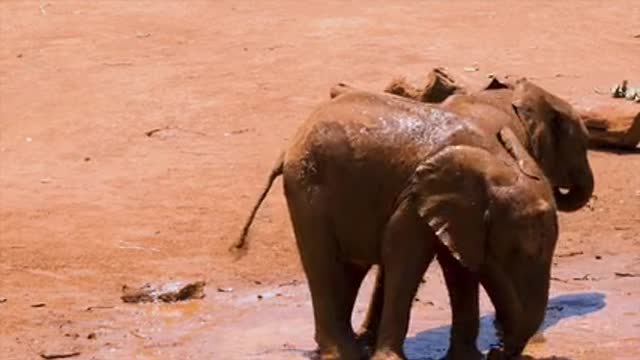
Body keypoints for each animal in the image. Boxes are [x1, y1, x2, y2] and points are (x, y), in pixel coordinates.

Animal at [234, 87, 560, 360]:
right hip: (308, 188)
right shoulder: (414, 198)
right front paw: (391, 359)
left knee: (350, 268)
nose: (497, 350)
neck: (494, 163)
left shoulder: (457, 213)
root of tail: (289, 146)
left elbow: (460, 267)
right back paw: (343, 354)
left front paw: (467, 359)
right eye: (518, 253)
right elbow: (405, 256)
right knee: (324, 263)